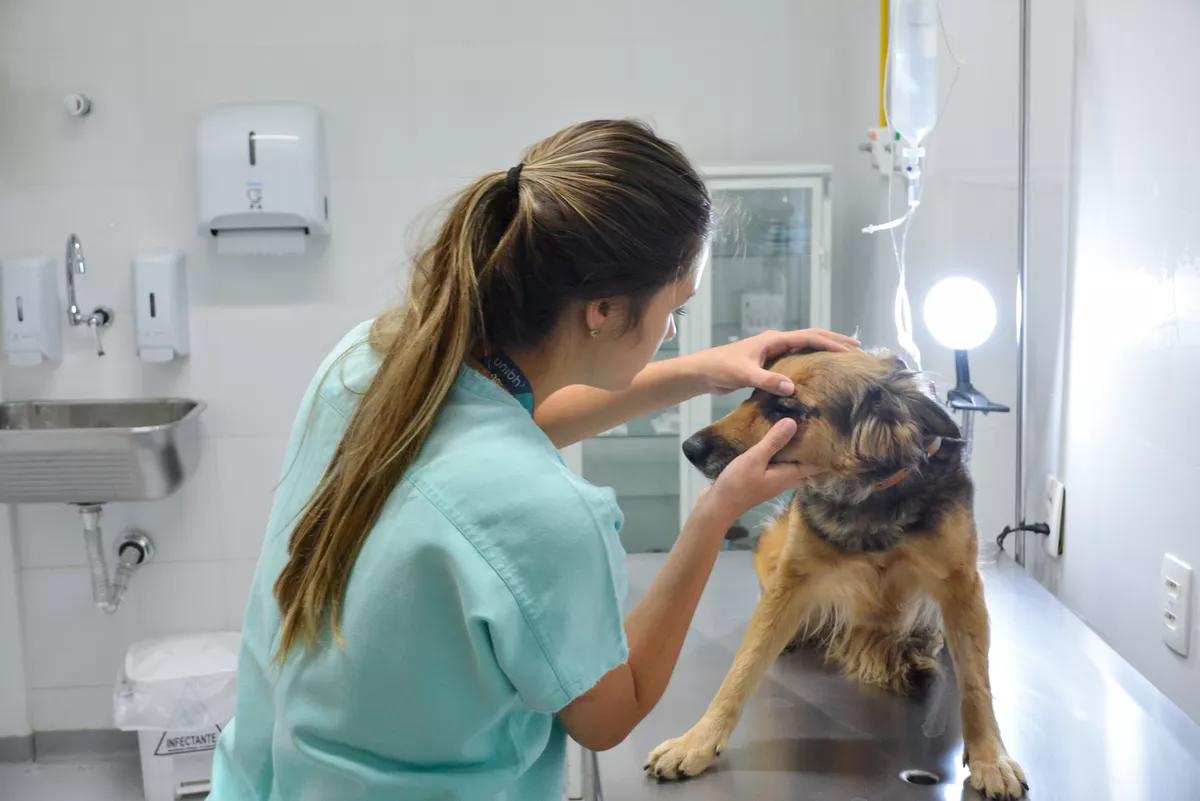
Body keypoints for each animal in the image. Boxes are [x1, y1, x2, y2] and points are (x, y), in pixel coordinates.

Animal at [643, 347, 1027, 796]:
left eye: (785, 408)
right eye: (752, 393)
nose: (689, 447)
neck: (868, 496)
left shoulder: (962, 584)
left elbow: (977, 683)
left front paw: (990, 757)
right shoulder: (791, 580)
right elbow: (742, 668)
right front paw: (698, 741)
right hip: (770, 544)